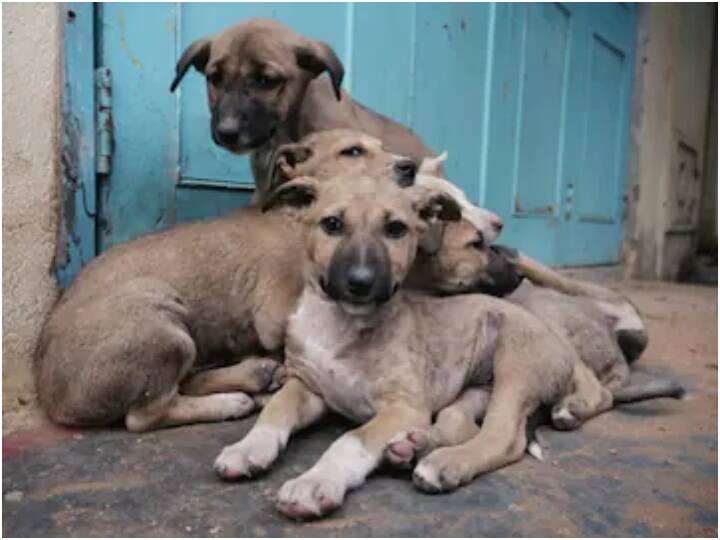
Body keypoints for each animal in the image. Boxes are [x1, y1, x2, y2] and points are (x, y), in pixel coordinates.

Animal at [215, 175, 688, 520]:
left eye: (396, 229)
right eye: (331, 224)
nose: (361, 283)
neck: (340, 324)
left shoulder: (403, 406)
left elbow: (350, 440)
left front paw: (316, 484)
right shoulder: (307, 386)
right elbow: (274, 413)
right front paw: (247, 449)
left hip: (516, 363)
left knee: (504, 437)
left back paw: (442, 463)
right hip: (471, 391)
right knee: (461, 425)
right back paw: (411, 448)